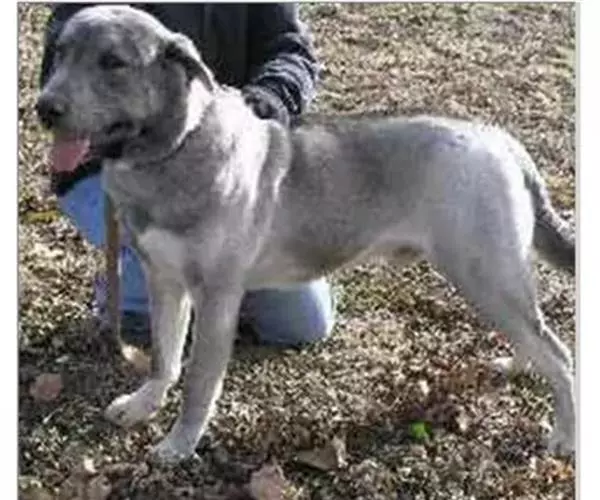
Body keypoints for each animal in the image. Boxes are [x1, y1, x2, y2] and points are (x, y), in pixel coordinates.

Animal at [36, 5, 576, 464]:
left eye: (113, 62)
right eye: (58, 53)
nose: (44, 108)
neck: (177, 148)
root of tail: (500, 140)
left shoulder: (216, 298)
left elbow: (197, 385)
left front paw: (180, 444)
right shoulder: (164, 282)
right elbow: (164, 359)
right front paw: (144, 405)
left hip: (486, 276)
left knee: (559, 352)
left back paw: (564, 436)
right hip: (493, 281)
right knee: (537, 339)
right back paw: (518, 366)